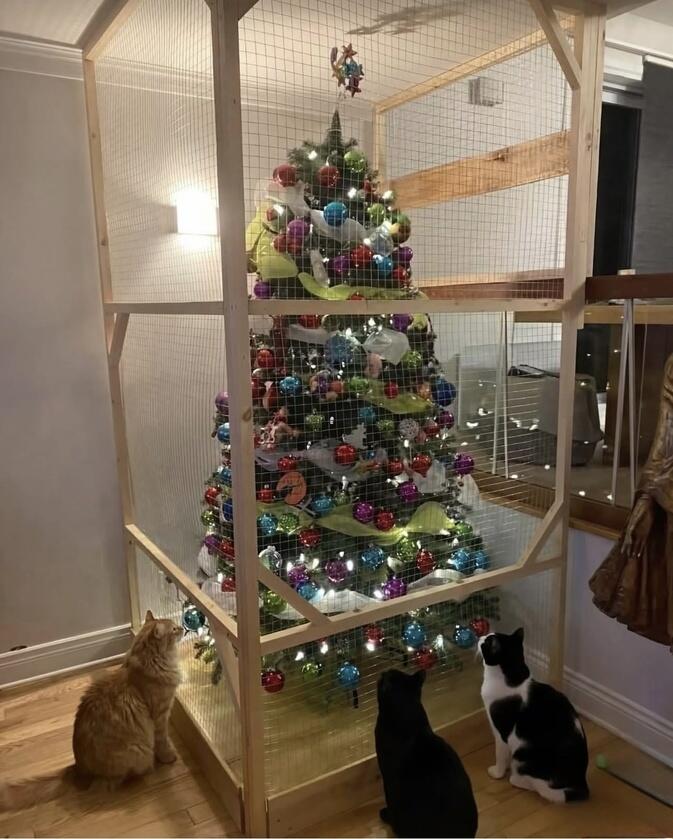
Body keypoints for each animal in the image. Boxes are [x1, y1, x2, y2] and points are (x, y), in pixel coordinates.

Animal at [0, 610, 182, 811]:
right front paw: (169, 757)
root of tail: (78, 769)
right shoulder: (160, 716)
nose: (182, 627)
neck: (148, 662)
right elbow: (163, 741)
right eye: (174, 629)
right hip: (138, 750)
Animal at [479, 627, 589, 803]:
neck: (512, 679)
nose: (481, 636)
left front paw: (497, 772)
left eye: (488, 642)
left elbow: (500, 753)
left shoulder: (502, 732)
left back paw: (517, 779)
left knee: (537, 787)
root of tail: (581, 783)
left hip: (524, 754)